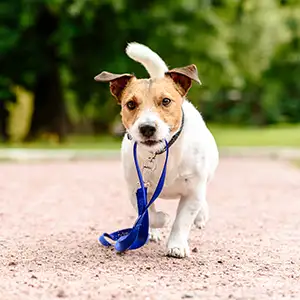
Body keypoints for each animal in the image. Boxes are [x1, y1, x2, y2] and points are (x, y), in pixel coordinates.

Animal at [95, 42, 219, 258]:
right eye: (130, 104)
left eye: (166, 101)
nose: (147, 128)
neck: (161, 153)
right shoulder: (136, 188)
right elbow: (149, 214)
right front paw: (160, 220)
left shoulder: (192, 191)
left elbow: (182, 221)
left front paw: (177, 245)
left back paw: (201, 215)